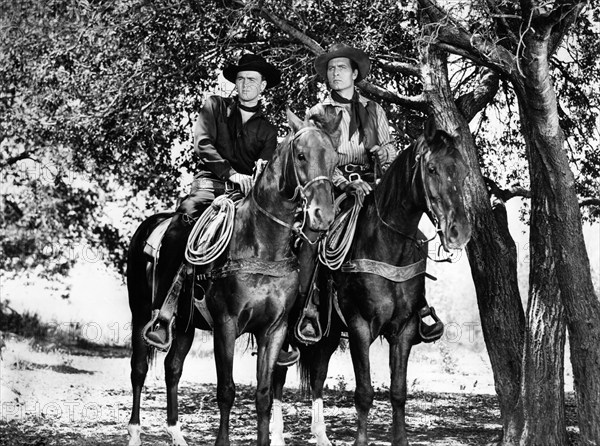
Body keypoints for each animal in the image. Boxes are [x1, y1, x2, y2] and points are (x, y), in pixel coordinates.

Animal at [125, 108, 342, 446]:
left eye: (333, 159)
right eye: (301, 156)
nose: (323, 216)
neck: (261, 243)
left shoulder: (274, 330)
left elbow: (264, 394)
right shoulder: (226, 325)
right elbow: (226, 390)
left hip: (185, 325)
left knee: (172, 368)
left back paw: (176, 433)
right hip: (140, 312)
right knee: (138, 369)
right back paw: (135, 433)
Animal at [270, 118, 472, 446]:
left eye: (465, 171)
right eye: (432, 169)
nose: (459, 233)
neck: (388, 244)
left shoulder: (404, 330)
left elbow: (399, 391)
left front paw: (401, 440)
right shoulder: (359, 327)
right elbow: (364, 392)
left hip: (326, 335)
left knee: (317, 376)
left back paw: (321, 436)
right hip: (284, 329)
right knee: (277, 375)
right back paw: (276, 435)